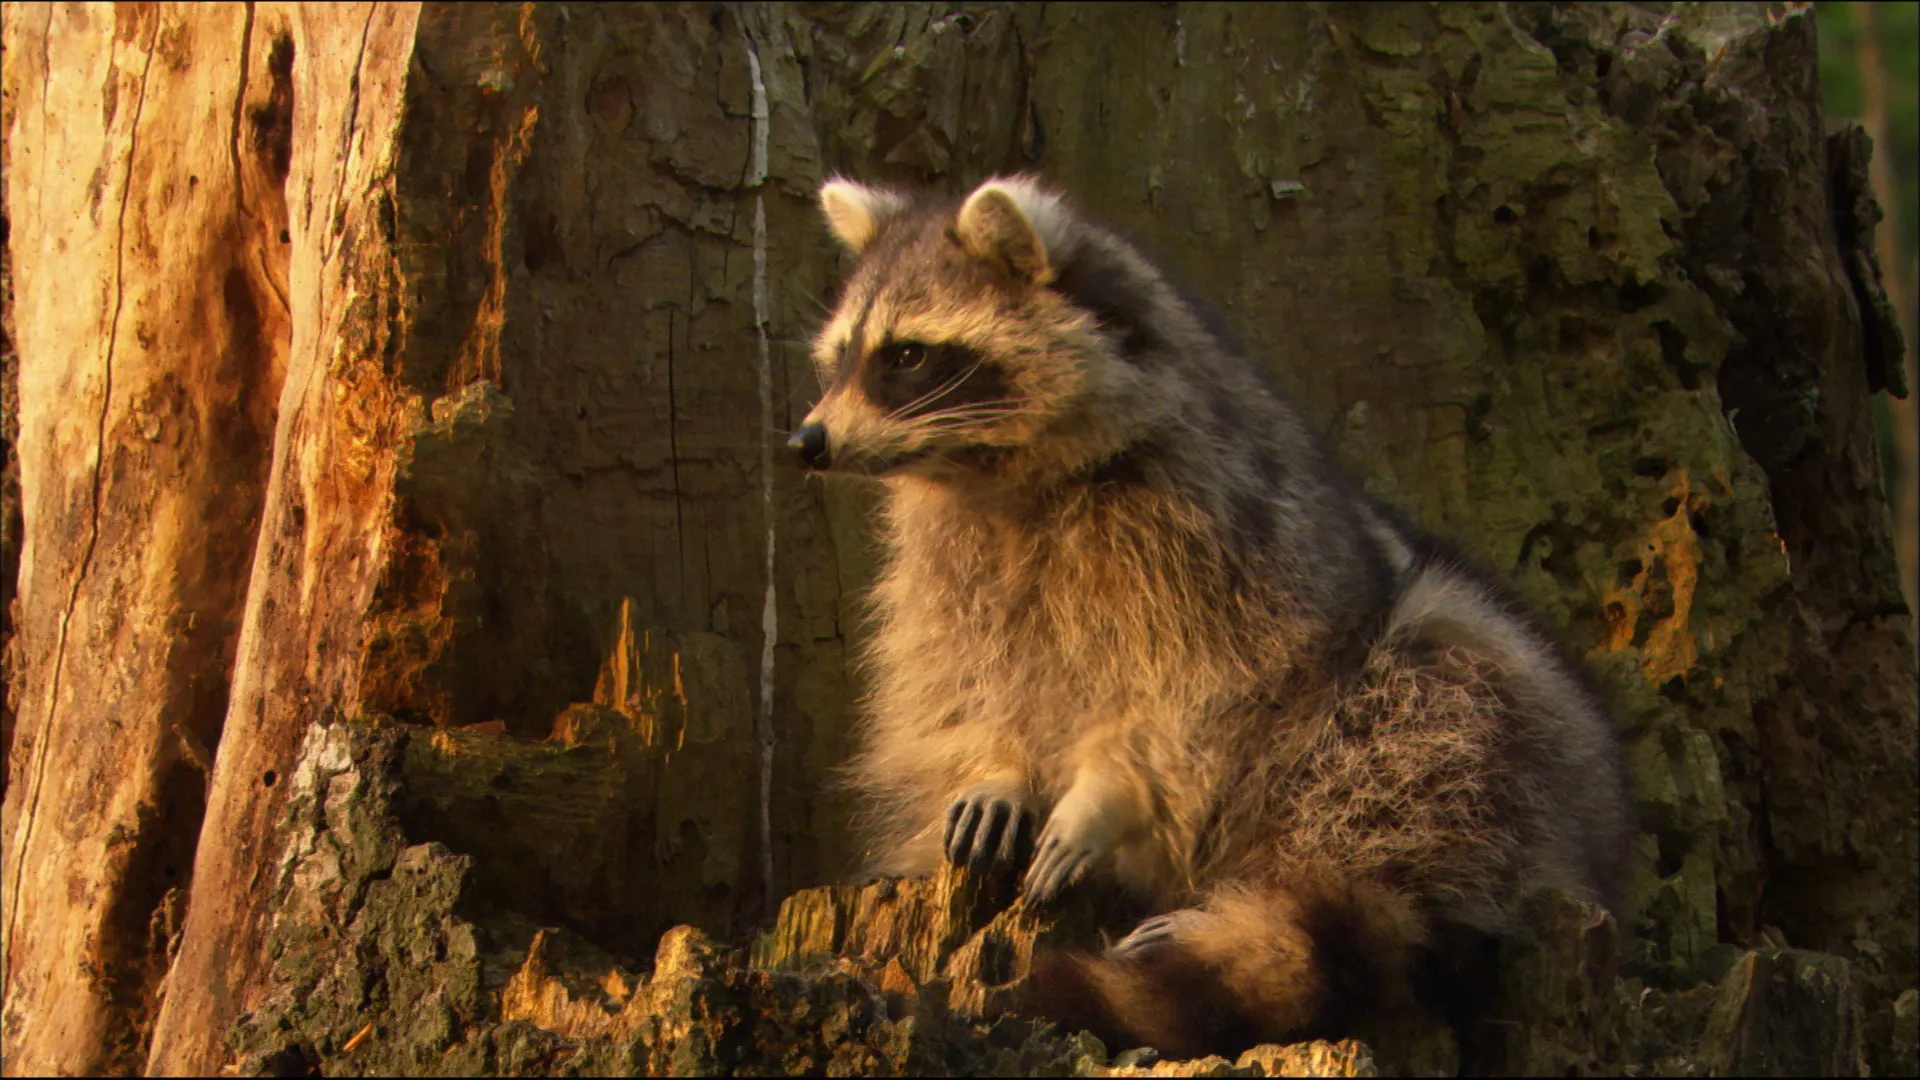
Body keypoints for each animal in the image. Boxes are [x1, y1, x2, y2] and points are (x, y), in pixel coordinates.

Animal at [793, 176, 1630, 1058]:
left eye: (906, 356)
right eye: (841, 357)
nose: (806, 440)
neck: (1001, 475)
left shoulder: (1219, 532)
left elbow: (1200, 695)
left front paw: (1104, 795)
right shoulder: (945, 556)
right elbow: (954, 671)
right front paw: (995, 763)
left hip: (1499, 711)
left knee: (1417, 714)